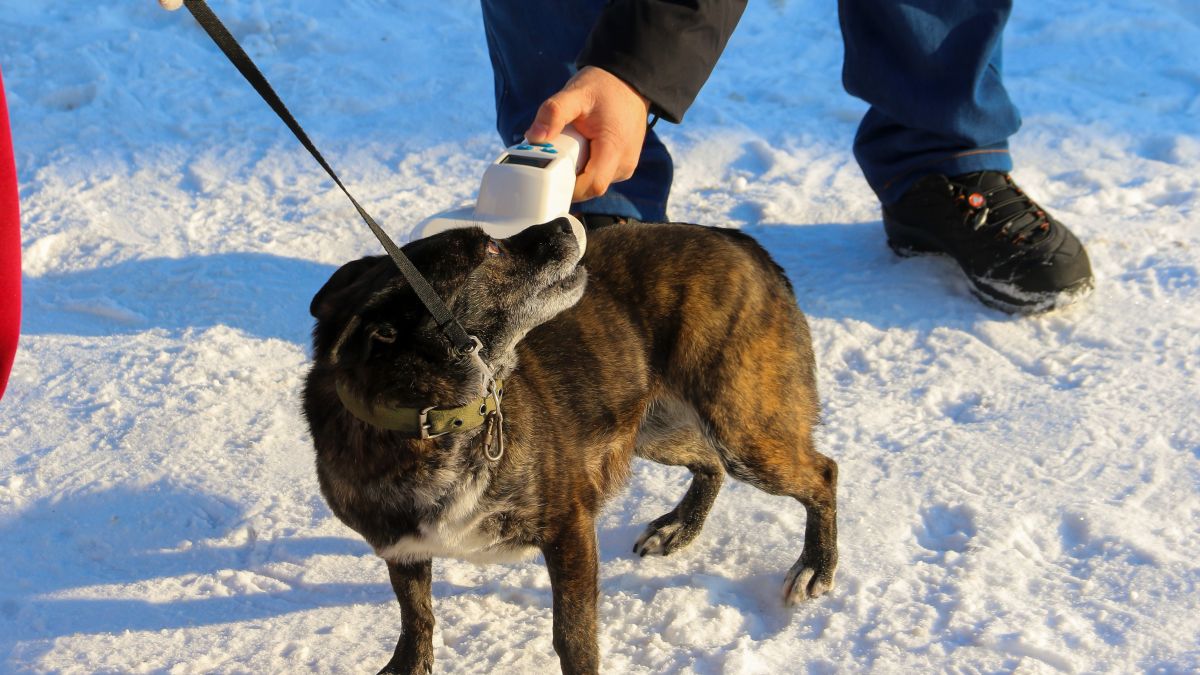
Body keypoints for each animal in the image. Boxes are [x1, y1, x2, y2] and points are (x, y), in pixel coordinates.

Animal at [304, 218, 840, 667]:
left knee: (823, 473)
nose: (566, 220)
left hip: (740, 425)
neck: (439, 423)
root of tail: (735, 238)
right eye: (491, 249)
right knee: (711, 464)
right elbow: (417, 619)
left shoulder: (569, 526)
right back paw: (679, 527)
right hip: (655, 428)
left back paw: (816, 566)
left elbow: (574, 638)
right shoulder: (403, 550)